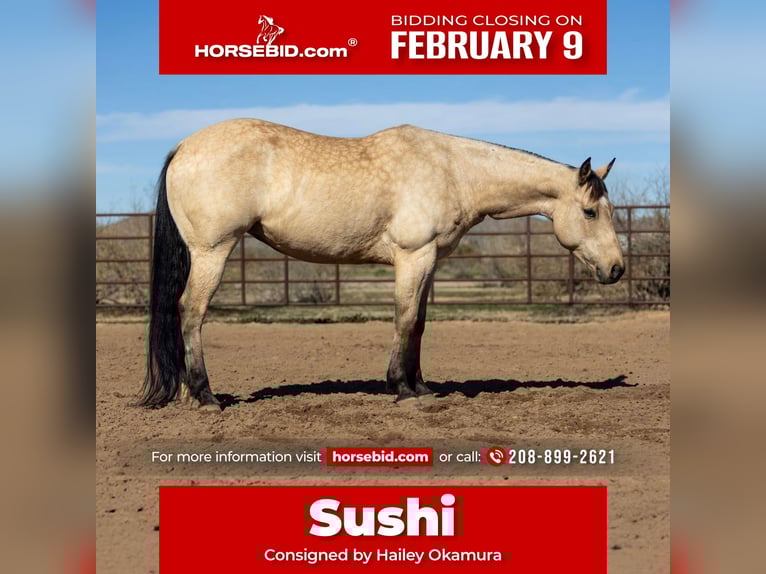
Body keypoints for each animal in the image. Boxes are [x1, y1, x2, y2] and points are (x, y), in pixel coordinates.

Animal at [138, 119, 624, 411]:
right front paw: (402, 389)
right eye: (590, 212)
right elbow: (404, 319)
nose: (617, 269)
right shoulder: (413, 256)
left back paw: (189, 393)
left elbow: (419, 324)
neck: (454, 171)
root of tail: (184, 147)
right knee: (191, 312)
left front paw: (422, 386)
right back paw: (205, 396)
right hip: (213, 251)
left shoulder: (429, 262)